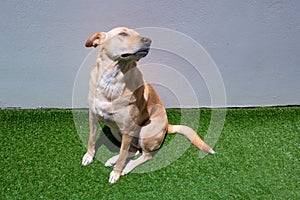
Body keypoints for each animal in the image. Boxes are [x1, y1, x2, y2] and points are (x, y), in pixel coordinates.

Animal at [81, 27, 214, 184]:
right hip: (115, 130)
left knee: (144, 155)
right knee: (133, 150)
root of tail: (168, 126)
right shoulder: (93, 118)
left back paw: (127, 167)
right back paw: (113, 160)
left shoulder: (127, 128)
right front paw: (89, 156)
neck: (112, 81)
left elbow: (122, 156)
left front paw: (116, 173)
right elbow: (91, 139)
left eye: (138, 34)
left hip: (145, 131)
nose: (148, 40)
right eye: (123, 33)